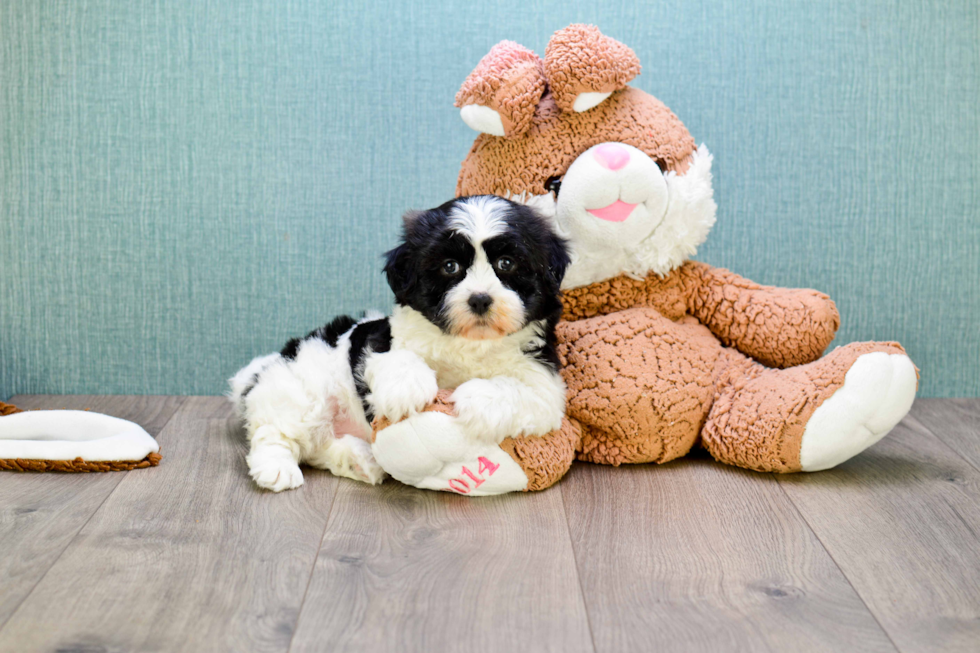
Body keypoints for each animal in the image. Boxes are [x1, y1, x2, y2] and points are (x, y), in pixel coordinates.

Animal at [228, 196, 568, 492]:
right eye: (450, 267)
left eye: (506, 263)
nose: (480, 299)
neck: (469, 343)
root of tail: (267, 367)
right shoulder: (382, 342)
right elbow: (399, 359)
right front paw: (408, 391)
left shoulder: (544, 383)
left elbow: (520, 390)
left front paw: (476, 397)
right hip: (301, 389)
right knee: (277, 430)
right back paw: (277, 467)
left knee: (317, 448)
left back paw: (361, 461)